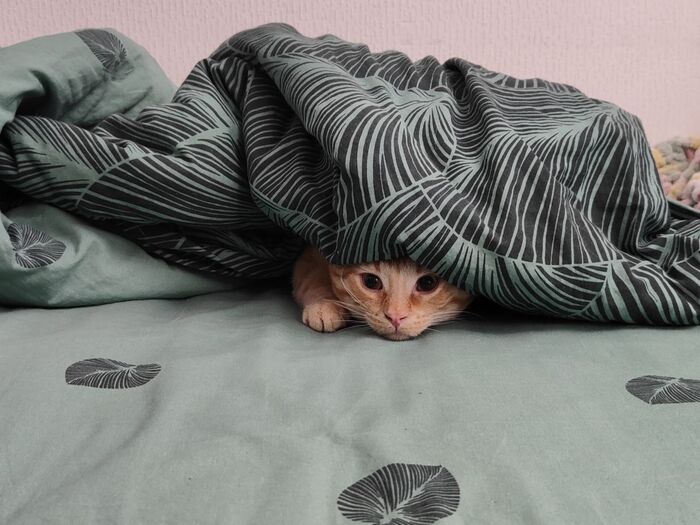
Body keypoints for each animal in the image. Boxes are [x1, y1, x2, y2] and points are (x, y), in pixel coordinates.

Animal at [292, 246, 473, 340]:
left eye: (427, 283)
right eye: (371, 281)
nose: (395, 318)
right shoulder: (310, 256)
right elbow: (313, 277)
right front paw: (324, 304)